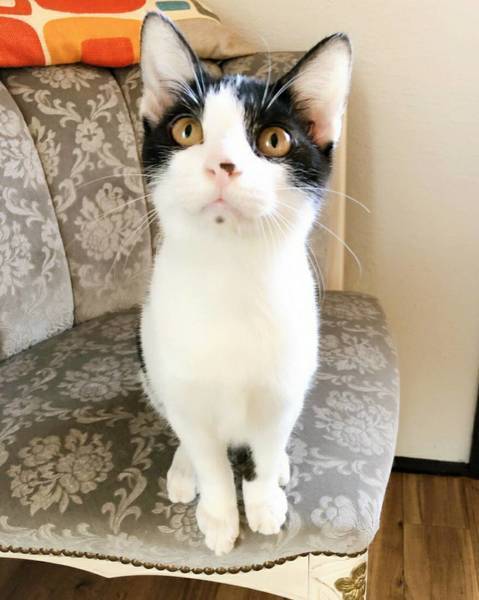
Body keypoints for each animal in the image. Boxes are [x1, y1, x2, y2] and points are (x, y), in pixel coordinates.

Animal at [138, 12, 351, 556]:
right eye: (187, 130)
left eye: (275, 140)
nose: (223, 165)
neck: (230, 274)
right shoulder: (180, 382)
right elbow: (209, 455)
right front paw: (218, 516)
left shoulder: (283, 389)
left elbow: (266, 446)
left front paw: (264, 503)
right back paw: (184, 469)